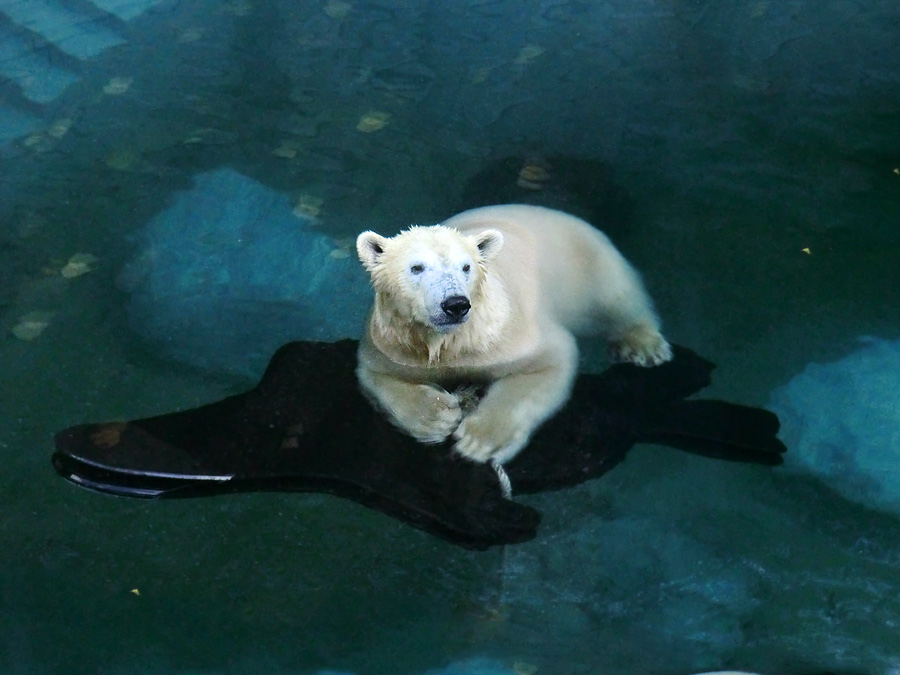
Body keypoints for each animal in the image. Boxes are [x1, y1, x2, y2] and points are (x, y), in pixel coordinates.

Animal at [356, 203, 672, 464]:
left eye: (466, 267)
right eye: (417, 267)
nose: (455, 304)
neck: (451, 342)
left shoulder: (510, 333)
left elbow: (549, 361)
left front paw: (481, 440)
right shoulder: (390, 344)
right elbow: (374, 376)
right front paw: (436, 417)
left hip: (586, 265)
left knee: (617, 296)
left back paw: (644, 346)